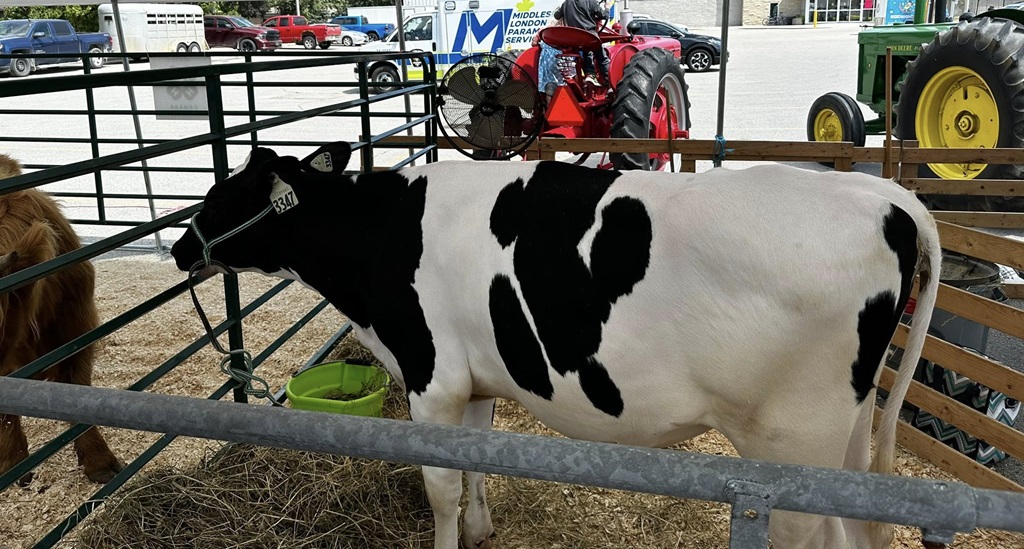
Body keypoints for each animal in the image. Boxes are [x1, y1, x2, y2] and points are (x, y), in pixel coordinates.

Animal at [171, 142, 941, 549]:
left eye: (220, 195)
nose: (180, 247)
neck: (382, 234)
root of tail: (884, 197)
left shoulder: (432, 375)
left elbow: (439, 487)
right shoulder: (474, 379)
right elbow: (477, 462)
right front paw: (482, 530)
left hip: (793, 440)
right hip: (848, 428)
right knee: (863, 529)